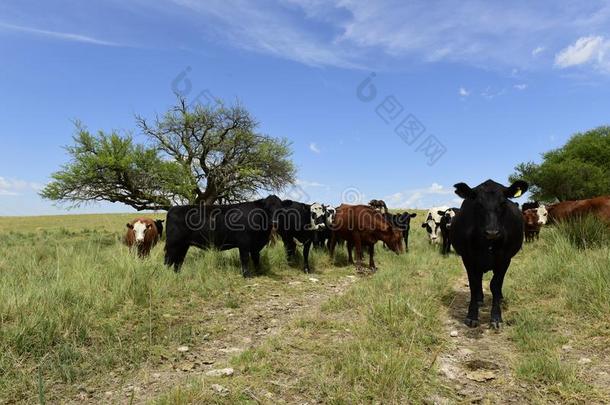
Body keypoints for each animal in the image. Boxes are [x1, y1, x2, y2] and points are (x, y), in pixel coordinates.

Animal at [446, 179, 528, 328]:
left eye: (503, 203)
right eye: (478, 204)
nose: (492, 232)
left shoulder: (505, 259)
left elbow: (495, 284)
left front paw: (496, 317)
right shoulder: (468, 258)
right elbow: (473, 283)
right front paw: (472, 315)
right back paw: (479, 300)